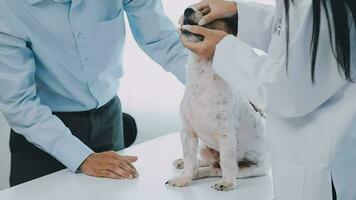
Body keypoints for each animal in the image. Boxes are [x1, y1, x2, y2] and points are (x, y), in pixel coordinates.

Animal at [165, 6, 268, 191]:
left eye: (207, 13)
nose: (187, 9)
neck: (202, 80)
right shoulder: (188, 132)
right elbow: (189, 159)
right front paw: (184, 179)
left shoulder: (226, 136)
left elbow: (226, 162)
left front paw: (227, 184)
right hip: (205, 147)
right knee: (203, 164)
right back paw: (184, 164)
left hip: (247, 168)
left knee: (218, 168)